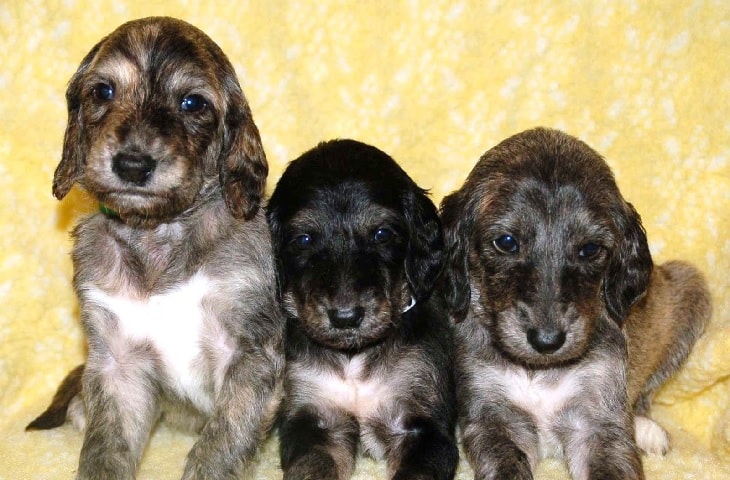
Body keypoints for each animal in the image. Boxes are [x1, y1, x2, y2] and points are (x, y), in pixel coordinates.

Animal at [25, 15, 282, 480]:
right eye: (102, 91)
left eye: (193, 103)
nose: (132, 165)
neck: (157, 237)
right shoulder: (117, 363)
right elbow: (104, 448)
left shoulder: (250, 353)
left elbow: (221, 443)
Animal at [264, 140, 458, 480]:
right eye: (303, 239)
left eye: (382, 234)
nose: (346, 318)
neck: (353, 357)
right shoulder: (314, 420)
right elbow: (312, 466)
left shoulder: (425, 426)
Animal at [440, 128, 708, 480]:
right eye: (506, 242)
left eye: (590, 249)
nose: (547, 342)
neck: (540, 370)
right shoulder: (492, 417)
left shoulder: (598, 422)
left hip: (691, 289)